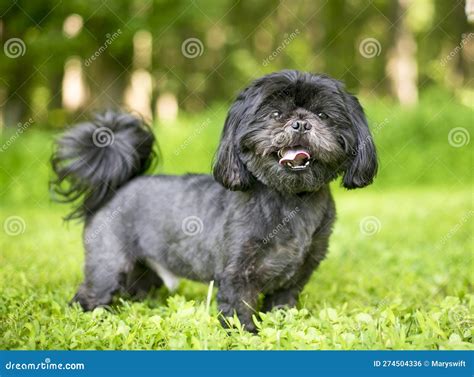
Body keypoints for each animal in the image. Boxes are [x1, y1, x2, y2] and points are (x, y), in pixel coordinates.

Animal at [51, 69, 378, 330]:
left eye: (323, 115)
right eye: (275, 114)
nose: (300, 123)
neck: (289, 200)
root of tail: (118, 186)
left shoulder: (296, 277)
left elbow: (282, 306)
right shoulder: (237, 274)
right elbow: (238, 308)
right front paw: (245, 335)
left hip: (143, 272)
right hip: (108, 264)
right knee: (90, 294)